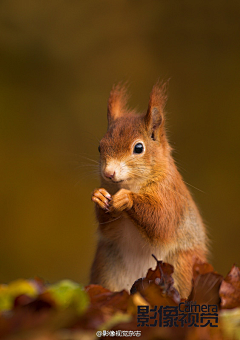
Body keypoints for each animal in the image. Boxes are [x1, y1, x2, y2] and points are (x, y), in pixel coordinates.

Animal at [90, 82, 208, 298]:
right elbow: (108, 228)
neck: (131, 184)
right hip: (108, 268)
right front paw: (100, 196)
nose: (108, 173)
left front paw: (127, 199)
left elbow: (161, 220)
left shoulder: (169, 194)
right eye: (100, 147)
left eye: (139, 148)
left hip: (182, 266)